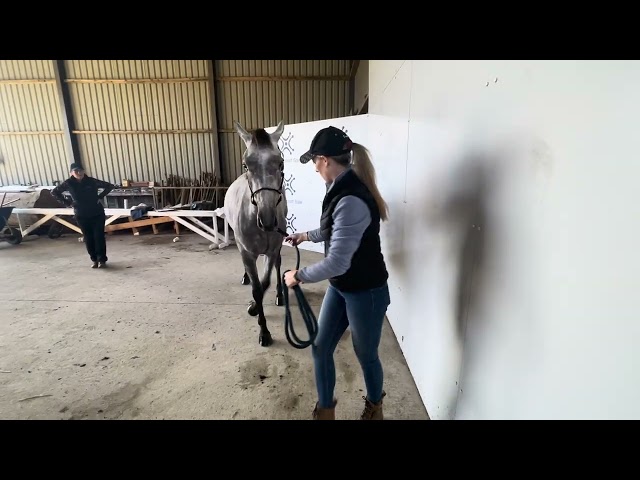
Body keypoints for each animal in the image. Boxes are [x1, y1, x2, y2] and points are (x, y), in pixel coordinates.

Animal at [223, 120, 288, 347]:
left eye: (281, 163)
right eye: (246, 165)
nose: (267, 219)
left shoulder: (272, 250)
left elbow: (264, 283)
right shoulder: (247, 252)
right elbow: (257, 288)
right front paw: (263, 329)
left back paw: (279, 295)